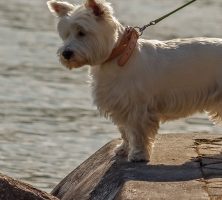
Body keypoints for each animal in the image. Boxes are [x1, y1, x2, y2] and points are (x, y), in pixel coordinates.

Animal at [47, 0, 222, 162]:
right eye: (66, 34)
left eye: (82, 32)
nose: (66, 54)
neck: (118, 54)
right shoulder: (119, 104)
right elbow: (124, 131)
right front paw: (123, 149)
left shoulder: (138, 108)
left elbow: (138, 133)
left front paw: (138, 155)